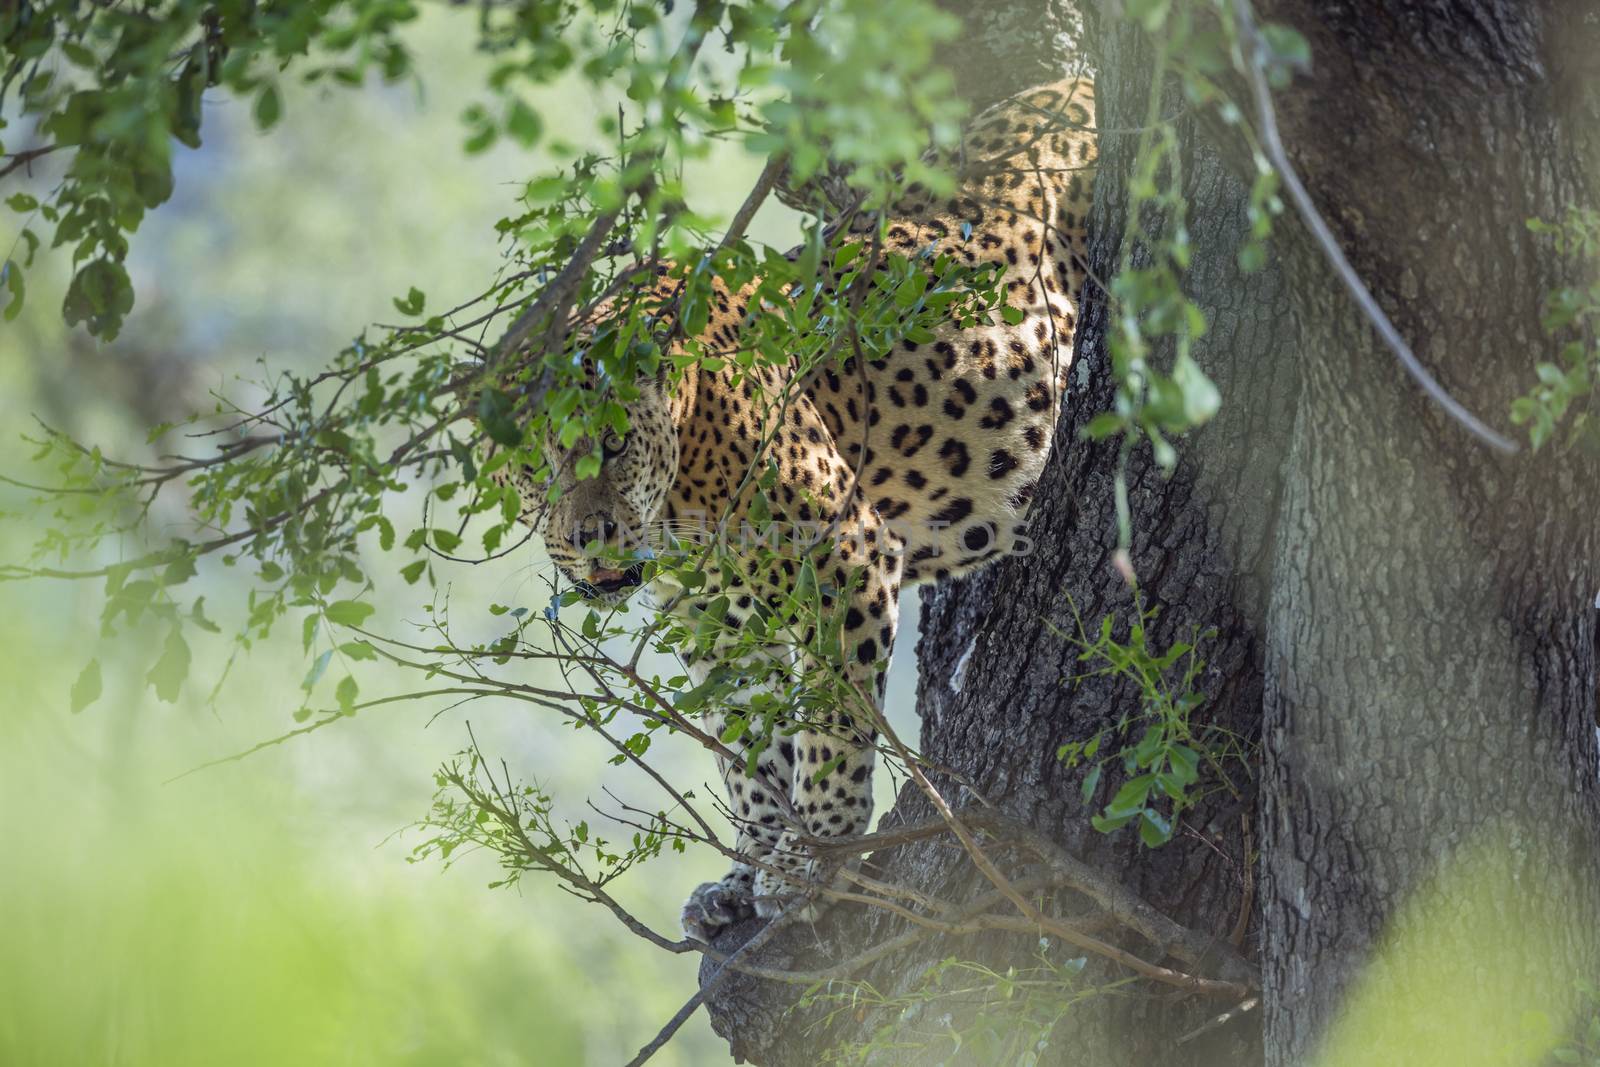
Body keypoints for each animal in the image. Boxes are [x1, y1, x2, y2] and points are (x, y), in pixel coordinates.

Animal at [492, 77, 1094, 940]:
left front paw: (815, 857)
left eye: (611, 444)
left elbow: (831, 722)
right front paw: (746, 867)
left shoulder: (846, 557)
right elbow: (745, 746)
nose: (590, 536)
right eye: (534, 469)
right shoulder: (714, 626)